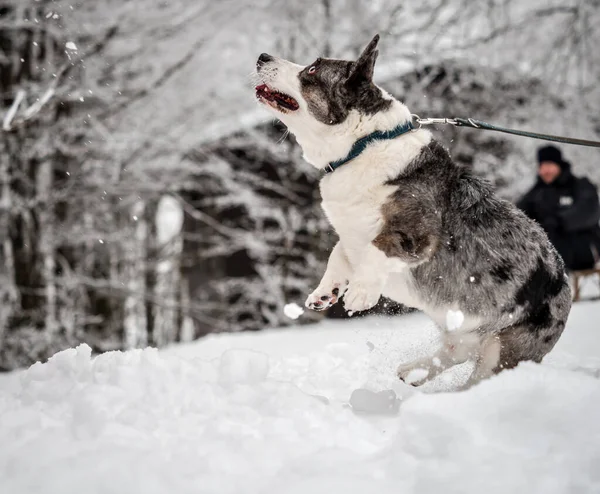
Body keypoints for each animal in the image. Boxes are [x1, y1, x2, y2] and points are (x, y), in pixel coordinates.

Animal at [253, 35, 572, 390]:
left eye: (311, 69)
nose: (262, 56)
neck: (365, 144)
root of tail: (565, 285)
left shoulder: (415, 234)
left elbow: (378, 250)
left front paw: (359, 295)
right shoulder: (351, 236)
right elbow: (338, 256)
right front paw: (325, 293)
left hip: (502, 351)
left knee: (482, 372)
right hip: (464, 331)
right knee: (456, 351)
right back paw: (414, 372)